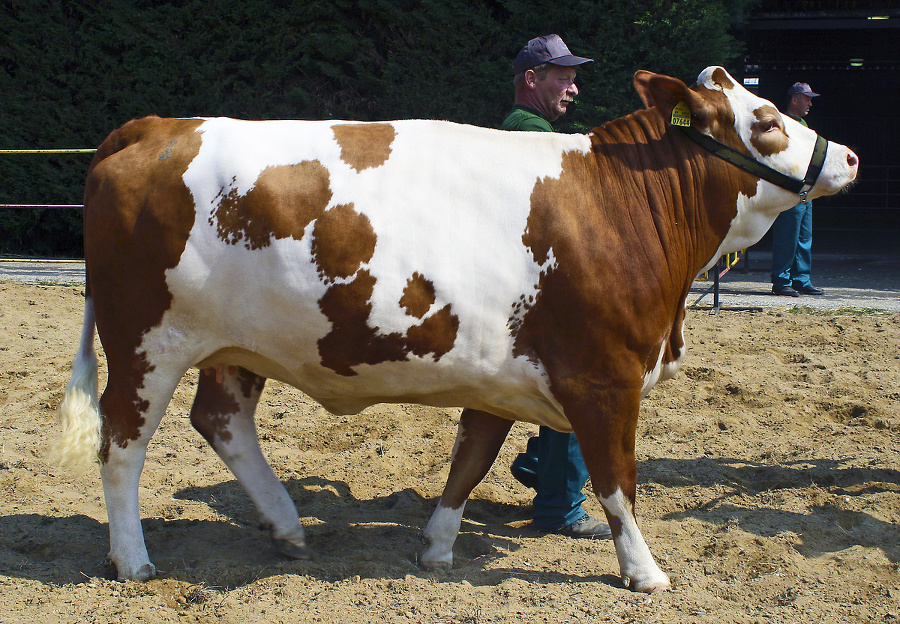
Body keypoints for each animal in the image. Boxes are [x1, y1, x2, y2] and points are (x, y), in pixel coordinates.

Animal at [54, 66, 856, 592]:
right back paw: (134, 559)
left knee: (222, 421)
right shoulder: (606, 377)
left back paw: (287, 526)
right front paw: (645, 571)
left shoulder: (501, 371)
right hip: (145, 345)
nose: (848, 155)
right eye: (766, 121)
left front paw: (436, 549)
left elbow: (471, 458)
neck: (617, 203)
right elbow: (616, 480)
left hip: (235, 345)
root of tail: (158, 126)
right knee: (121, 447)